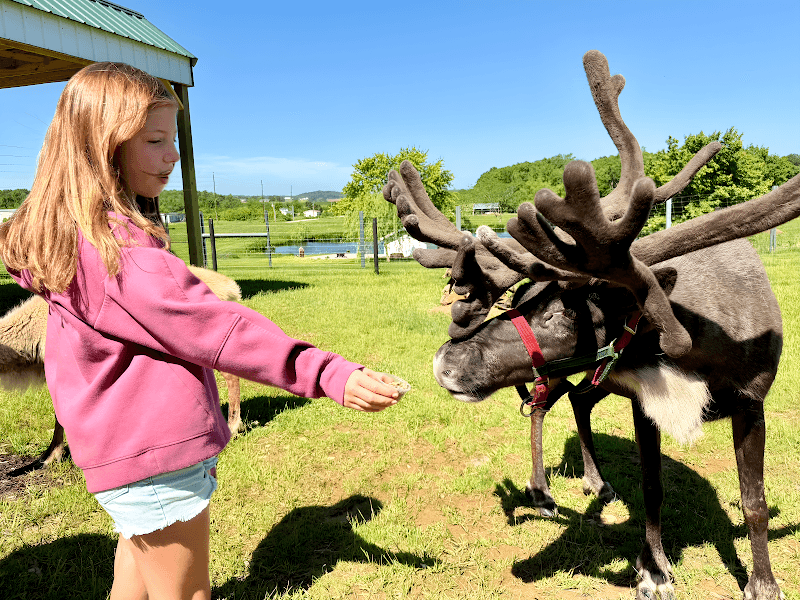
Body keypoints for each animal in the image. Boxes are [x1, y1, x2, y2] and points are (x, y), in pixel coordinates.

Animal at [383, 50, 800, 600]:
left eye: (562, 313)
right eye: (525, 298)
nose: (445, 362)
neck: (697, 349)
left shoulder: (751, 402)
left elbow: (754, 500)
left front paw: (763, 582)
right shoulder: (646, 405)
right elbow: (653, 488)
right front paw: (654, 571)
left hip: (586, 376)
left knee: (577, 401)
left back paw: (595, 482)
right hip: (561, 374)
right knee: (544, 408)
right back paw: (542, 493)